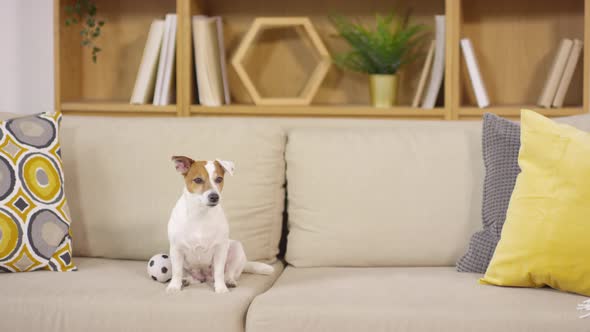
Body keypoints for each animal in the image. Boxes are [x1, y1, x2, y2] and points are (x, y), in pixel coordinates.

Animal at [166, 156, 276, 294]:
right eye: (198, 180)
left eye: (219, 179)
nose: (214, 196)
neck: (201, 214)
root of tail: (205, 276)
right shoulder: (176, 249)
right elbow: (176, 271)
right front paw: (174, 286)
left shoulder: (220, 249)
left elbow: (219, 272)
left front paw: (221, 288)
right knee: (193, 277)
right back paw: (186, 280)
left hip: (236, 249)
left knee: (228, 272)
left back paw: (228, 281)